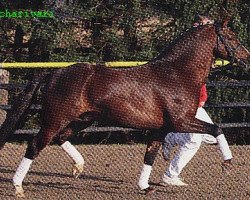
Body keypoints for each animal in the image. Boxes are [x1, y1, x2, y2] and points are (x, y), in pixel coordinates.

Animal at [1, 19, 250, 198]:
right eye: (230, 36)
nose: (246, 58)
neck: (177, 73)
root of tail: (54, 73)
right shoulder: (182, 121)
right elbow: (217, 129)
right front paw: (227, 164)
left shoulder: (161, 129)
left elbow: (150, 155)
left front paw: (145, 187)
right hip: (54, 120)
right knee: (35, 145)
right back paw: (18, 187)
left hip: (83, 120)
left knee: (61, 137)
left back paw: (78, 167)